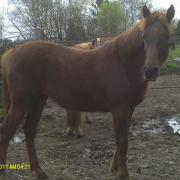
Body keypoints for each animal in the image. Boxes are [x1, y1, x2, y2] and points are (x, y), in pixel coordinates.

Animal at [0, 4, 174, 179]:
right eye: (144, 37)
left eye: (166, 36)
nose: (150, 71)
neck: (123, 63)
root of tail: (13, 53)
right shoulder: (120, 110)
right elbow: (122, 142)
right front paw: (123, 174)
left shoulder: (128, 109)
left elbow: (121, 140)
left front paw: (115, 168)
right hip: (21, 103)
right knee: (6, 132)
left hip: (38, 101)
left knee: (29, 131)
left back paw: (38, 170)